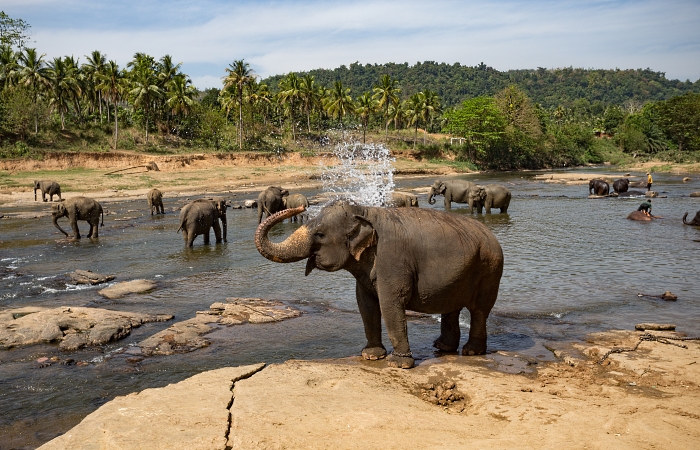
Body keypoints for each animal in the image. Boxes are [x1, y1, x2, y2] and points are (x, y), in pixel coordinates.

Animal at [256, 201, 504, 370]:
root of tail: (491, 234)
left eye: (320, 234)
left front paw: (398, 364)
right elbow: (365, 305)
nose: (299, 206)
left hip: (490, 268)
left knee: (479, 310)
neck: (364, 211)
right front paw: (372, 356)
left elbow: (390, 303)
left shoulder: (392, 259)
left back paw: (471, 351)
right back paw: (443, 348)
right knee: (451, 307)